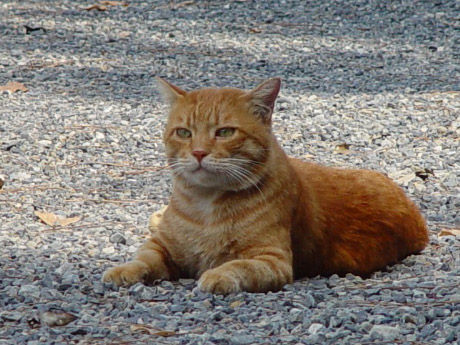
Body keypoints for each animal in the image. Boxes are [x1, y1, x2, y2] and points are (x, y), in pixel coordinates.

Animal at [102, 77, 430, 292]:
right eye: (183, 133)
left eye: (225, 132)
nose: (198, 152)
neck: (204, 204)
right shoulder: (162, 245)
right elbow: (143, 258)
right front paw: (124, 270)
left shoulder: (273, 261)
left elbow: (238, 266)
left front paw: (217, 275)